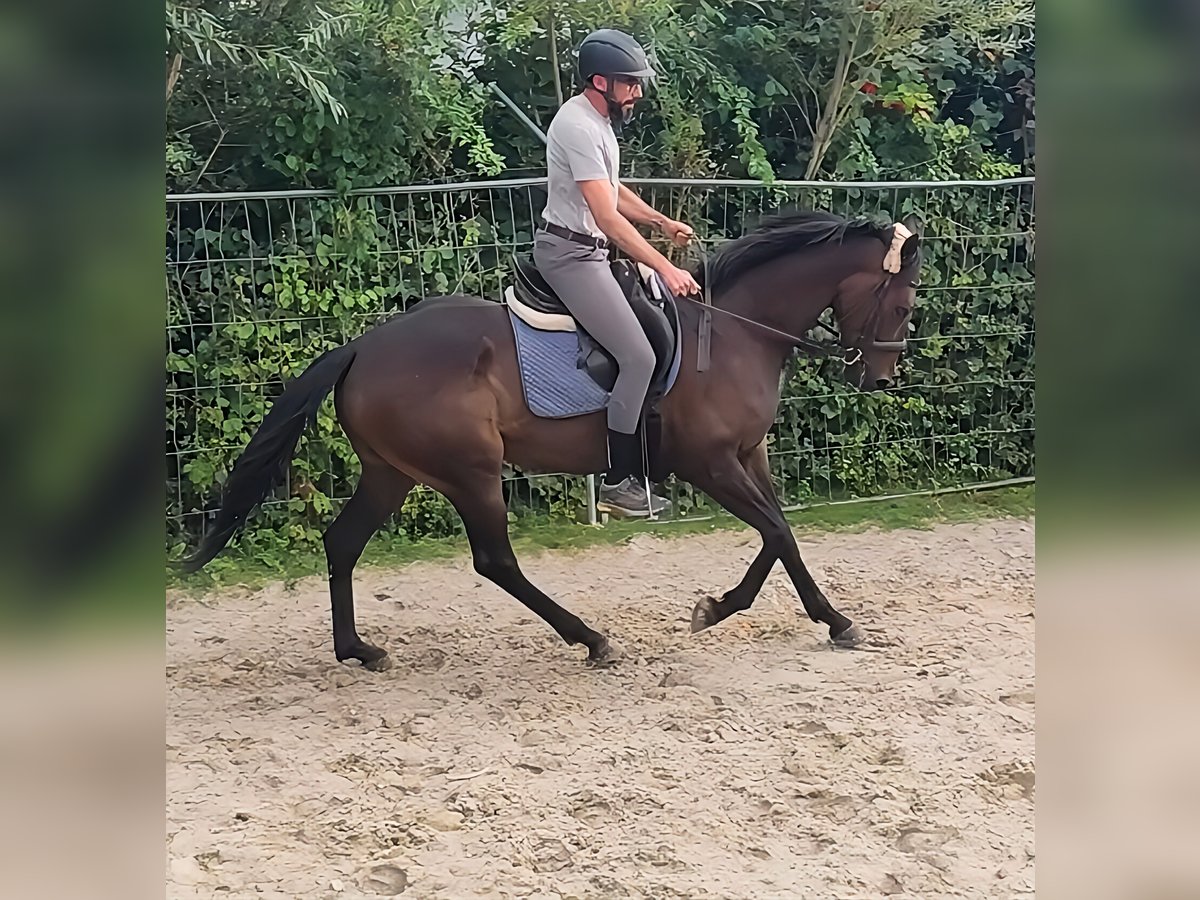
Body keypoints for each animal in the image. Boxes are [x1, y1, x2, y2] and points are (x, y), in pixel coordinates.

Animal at [177, 211, 921, 672]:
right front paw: (792, 617)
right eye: (905, 305)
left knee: (343, 543)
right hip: (471, 471)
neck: (735, 330)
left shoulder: (746, 455)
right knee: (496, 562)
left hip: (394, 472)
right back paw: (589, 639)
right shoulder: (709, 463)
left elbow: (778, 535)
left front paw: (756, 612)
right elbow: (778, 532)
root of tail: (363, 346)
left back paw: (359, 650)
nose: (880, 377)